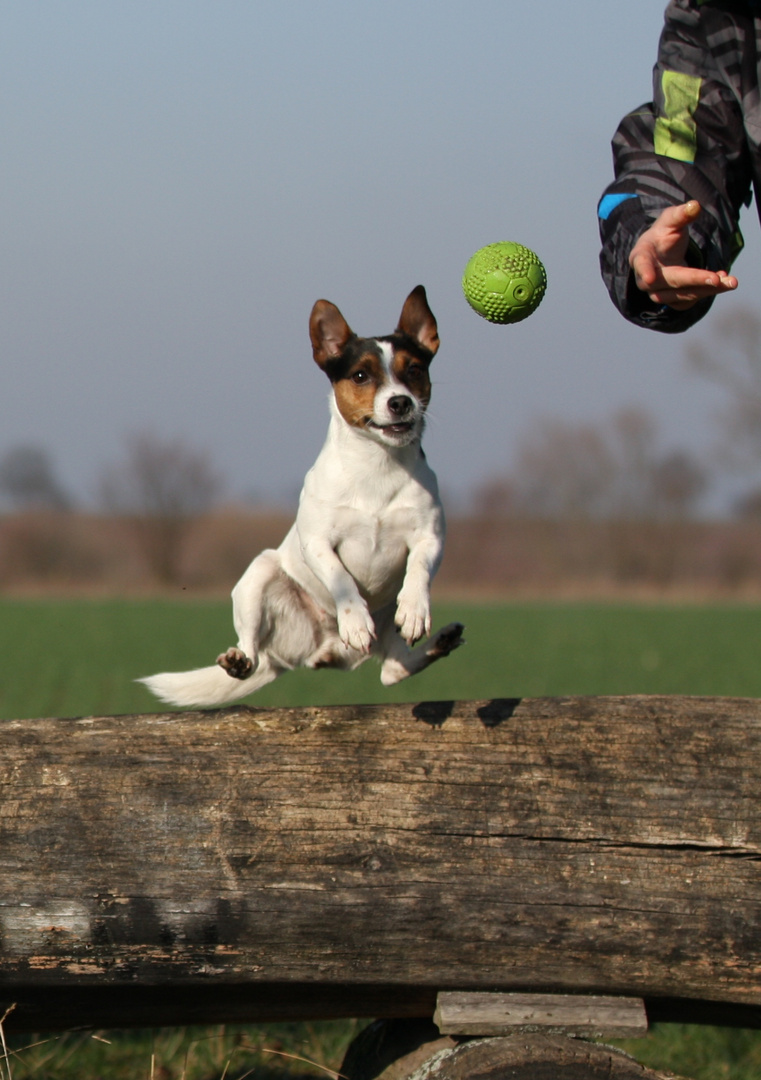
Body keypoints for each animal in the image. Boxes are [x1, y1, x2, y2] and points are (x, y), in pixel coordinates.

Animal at [141, 287, 461, 708]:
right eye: (360, 376)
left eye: (414, 370)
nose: (400, 402)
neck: (378, 466)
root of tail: (316, 652)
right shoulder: (318, 542)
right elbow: (342, 578)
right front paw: (355, 620)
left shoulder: (430, 536)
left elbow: (418, 570)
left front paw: (414, 610)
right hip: (259, 575)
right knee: (251, 648)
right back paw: (240, 660)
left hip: (382, 630)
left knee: (392, 670)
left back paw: (441, 641)